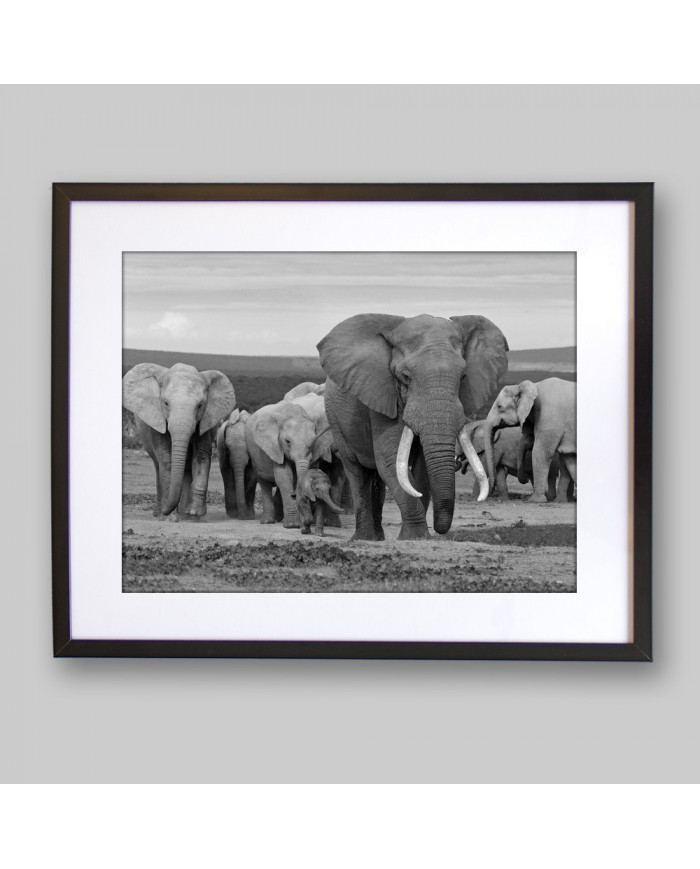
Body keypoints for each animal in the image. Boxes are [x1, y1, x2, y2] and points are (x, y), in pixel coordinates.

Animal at [123, 362, 236, 517]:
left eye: (200, 405)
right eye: (165, 403)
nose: (166, 512)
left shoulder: (204, 421)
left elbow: (201, 457)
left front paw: (195, 513)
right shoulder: (158, 421)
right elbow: (166, 459)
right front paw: (168, 516)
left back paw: (184, 513)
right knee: (158, 465)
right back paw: (161, 512)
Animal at [245, 399, 334, 527]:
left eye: (313, 441)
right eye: (287, 442)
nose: (294, 494)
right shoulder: (277, 447)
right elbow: (284, 478)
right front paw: (293, 525)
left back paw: (278, 518)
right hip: (255, 457)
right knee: (264, 482)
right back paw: (267, 521)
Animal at [318, 313, 508, 540]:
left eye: (463, 377)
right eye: (405, 377)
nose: (439, 529)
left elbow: (422, 467)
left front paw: (415, 536)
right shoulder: (383, 397)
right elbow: (390, 459)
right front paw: (416, 536)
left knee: (376, 477)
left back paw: (379, 537)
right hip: (336, 422)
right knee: (357, 471)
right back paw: (364, 538)